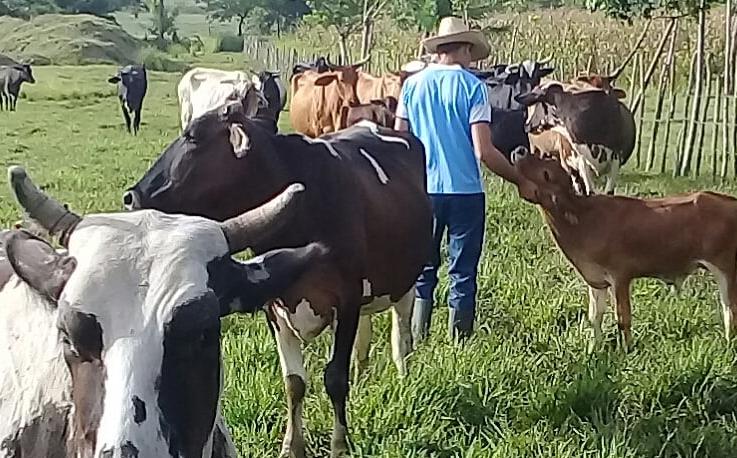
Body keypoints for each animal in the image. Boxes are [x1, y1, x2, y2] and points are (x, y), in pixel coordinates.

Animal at [121, 103, 432, 458]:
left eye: (193, 136)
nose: (131, 197)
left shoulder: (348, 299)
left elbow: (335, 377)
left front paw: (340, 445)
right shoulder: (274, 304)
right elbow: (294, 381)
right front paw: (291, 445)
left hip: (406, 278)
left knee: (401, 331)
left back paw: (403, 373)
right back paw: (363, 371)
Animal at [508, 148, 736, 350]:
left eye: (546, 173)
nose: (520, 150)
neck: (584, 219)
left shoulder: (620, 275)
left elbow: (623, 317)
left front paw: (626, 350)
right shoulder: (595, 280)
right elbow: (595, 316)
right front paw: (594, 349)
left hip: (725, 268)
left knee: (730, 310)